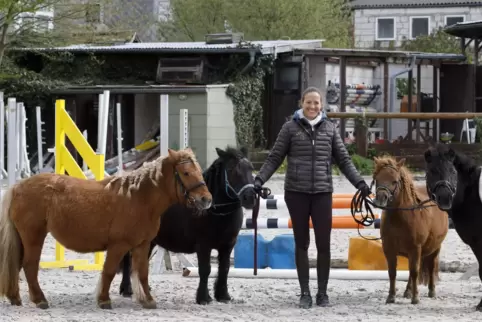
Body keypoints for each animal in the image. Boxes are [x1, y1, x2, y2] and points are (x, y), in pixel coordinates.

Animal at [0, 148, 213, 310]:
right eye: (186, 173)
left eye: (199, 171)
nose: (206, 200)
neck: (138, 197)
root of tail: (17, 187)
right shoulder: (118, 246)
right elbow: (109, 271)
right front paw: (103, 300)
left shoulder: (142, 245)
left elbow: (143, 273)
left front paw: (148, 300)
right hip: (34, 237)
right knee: (29, 266)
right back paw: (39, 300)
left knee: (17, 265)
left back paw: (15, 298)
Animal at [117, 146, 258, 304]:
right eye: (231, 169)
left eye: (251, 168)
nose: (250, 197)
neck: (215, 211)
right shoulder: (204, 245)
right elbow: (205, 269)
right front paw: (203, 297)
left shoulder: (228, 246)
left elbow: (225, 268)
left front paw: (223, 295)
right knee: (127, 260)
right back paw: (126, 289)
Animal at [370, 157, 450, 306]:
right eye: (377, 179)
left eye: (394, 181)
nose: (380, 199)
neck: (400, 218)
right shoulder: (389, 249)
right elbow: (392, 272)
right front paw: (391, 296)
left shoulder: (415, 248)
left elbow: (415, 272)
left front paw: (415, 298)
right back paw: (407, 291)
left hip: (434, 248)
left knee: (430, 267)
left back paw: (431, 291)